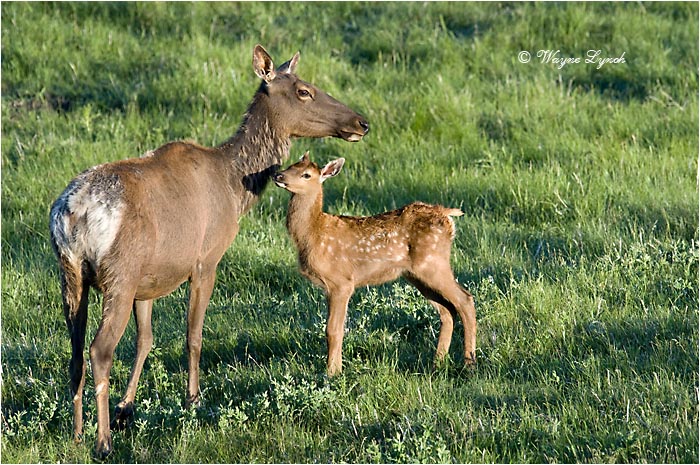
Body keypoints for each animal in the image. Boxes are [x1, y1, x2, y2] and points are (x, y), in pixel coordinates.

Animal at [48, 44, 368, 458]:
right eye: (304, 91)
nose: (361, 122)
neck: (235, 187)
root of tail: (74, 212)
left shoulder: (148, 279)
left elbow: (145, 339)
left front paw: (125, 409)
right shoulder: (205, 259)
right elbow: (193, 334)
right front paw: (193, 400)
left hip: (72, 272)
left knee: (74, 351)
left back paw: (76, 434)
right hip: (119, 270)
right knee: (99, 350)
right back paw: (102, 443)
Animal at [273, 152, 476, 377]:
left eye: (306, 174)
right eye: (291, 165)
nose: (278, 175)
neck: (313, 233)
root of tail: (446, 215)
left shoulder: (341, 282)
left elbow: (333, 329)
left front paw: (332, 372)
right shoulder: (330, 287)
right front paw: (336, 368)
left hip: (433, 263)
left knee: (465, 300)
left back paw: (469, 363)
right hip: (417, 274)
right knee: (447, 310)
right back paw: (437, 363)